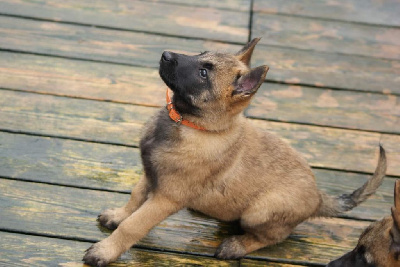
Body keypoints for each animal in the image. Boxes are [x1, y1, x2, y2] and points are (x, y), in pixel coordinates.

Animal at [83, 38, 388, 267]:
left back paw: (236, 245)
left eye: (204, 73)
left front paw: (104, 251)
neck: (191, 125)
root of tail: (319, 197)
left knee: (273, 236)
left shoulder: (166, 198)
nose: (165, 54)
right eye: (200, 54)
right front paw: (118, 215)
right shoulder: (150, 174)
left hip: (259, 211)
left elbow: (134, 225)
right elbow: (135, 198)